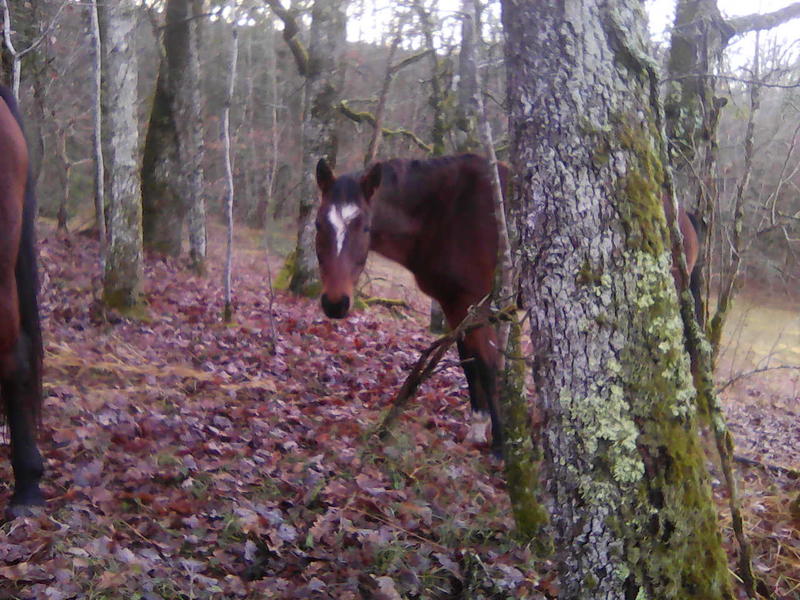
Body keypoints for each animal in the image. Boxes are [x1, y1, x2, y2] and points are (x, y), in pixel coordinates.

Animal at [313, 153, 700, 454]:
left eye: (364, 227)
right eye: (318, 224)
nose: (335, 303)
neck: (444, 214)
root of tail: (683, 217)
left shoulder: (477, 305)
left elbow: (487, 367)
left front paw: (501, 445)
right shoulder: (455, 306)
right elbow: (469, 362)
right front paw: (477, 428)